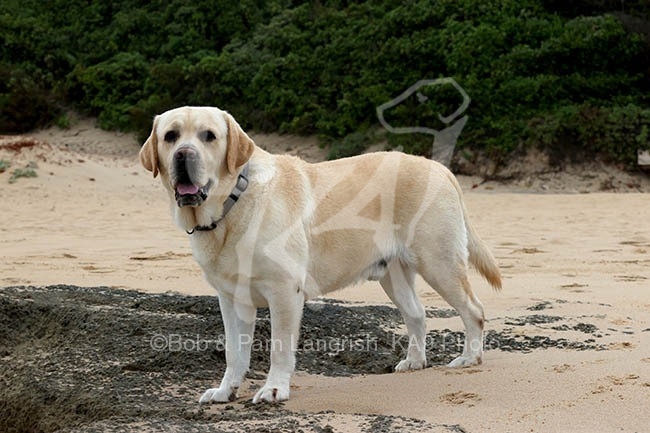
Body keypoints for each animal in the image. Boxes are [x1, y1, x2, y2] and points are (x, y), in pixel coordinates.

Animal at [139, 106, 502, 404]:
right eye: (170, 136)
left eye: (209, 136)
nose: (184, 155)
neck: (233, 204)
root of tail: (441, 169)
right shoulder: (232, 299)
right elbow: (234, 352)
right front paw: (225, 390)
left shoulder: (284, 291)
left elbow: (279, 348)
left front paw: (274, 389)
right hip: (394, 275)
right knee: (417, 314)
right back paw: (414, 361)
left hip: (439, 263)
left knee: (474, 310)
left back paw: (469, 358)